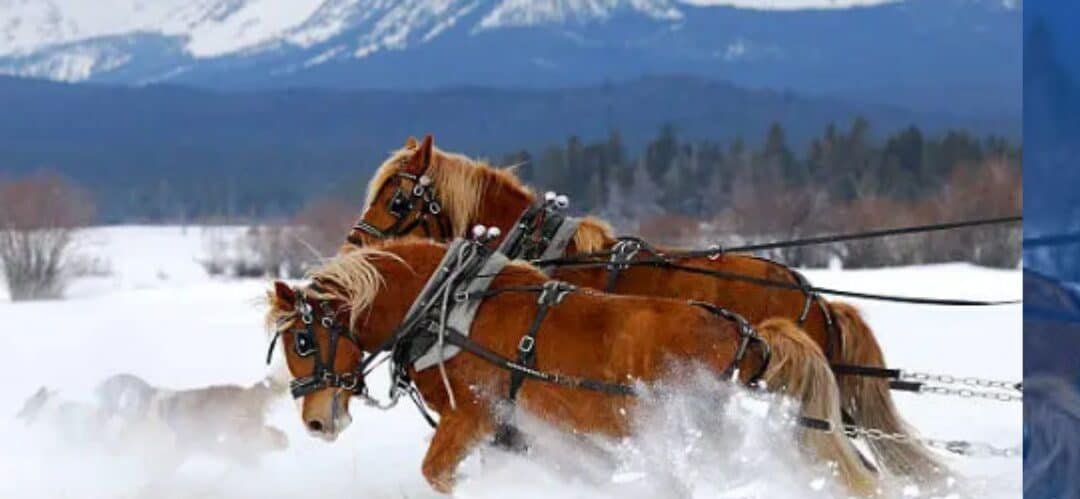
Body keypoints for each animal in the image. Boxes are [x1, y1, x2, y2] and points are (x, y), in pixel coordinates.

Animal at [265, 237, 877, 495]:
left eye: (303, 339)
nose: (316, 421)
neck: (451, 306)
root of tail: (750, 335)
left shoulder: (473, 417)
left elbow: (437, 473)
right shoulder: (527, 433)